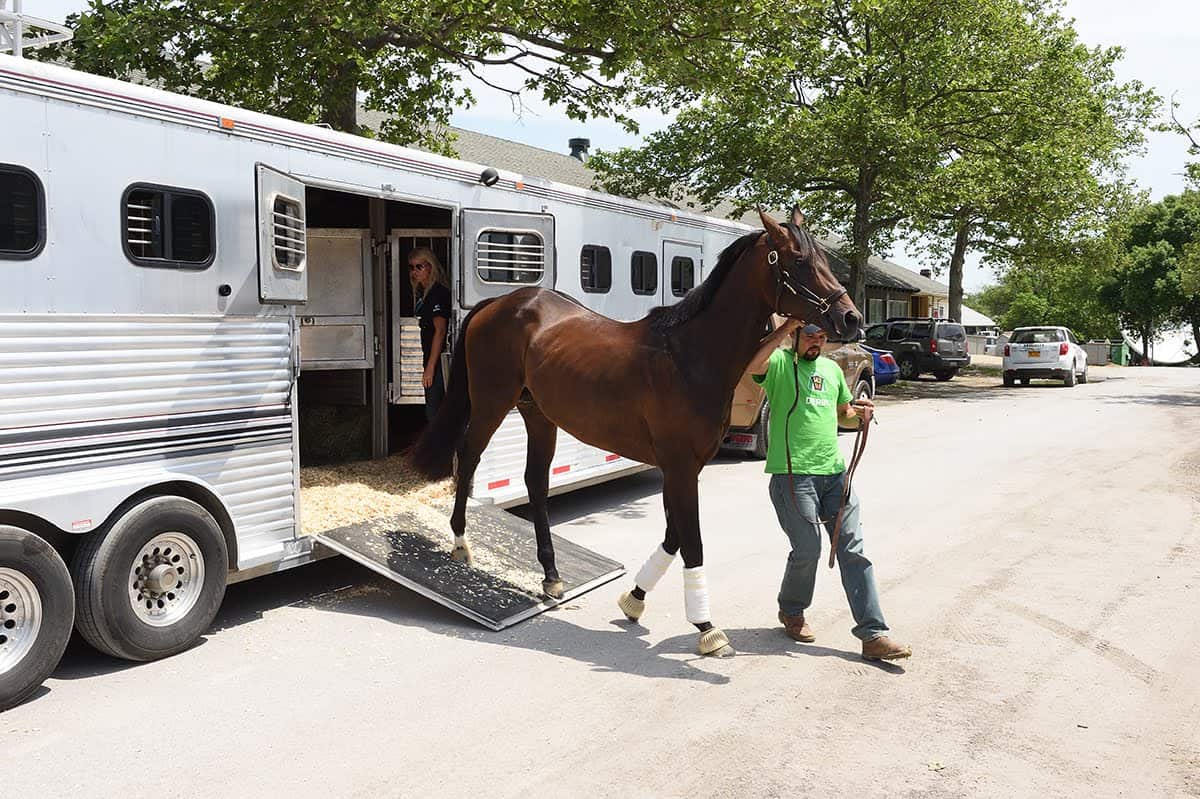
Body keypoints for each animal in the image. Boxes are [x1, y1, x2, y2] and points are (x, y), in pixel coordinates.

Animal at [409, 207, 861, 657]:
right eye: (800, 261)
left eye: (822, 259)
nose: (850, 318)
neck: (690, 356)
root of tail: (499, 302)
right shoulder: (679, 466)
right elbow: (691, 540)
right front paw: (707, 629)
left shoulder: (685, 467)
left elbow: (674, 535)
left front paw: (634, 599)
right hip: (491, 402)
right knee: (469, 457)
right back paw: (461, 544)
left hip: (538, 415)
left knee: (535, 482)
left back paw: (551, 574)